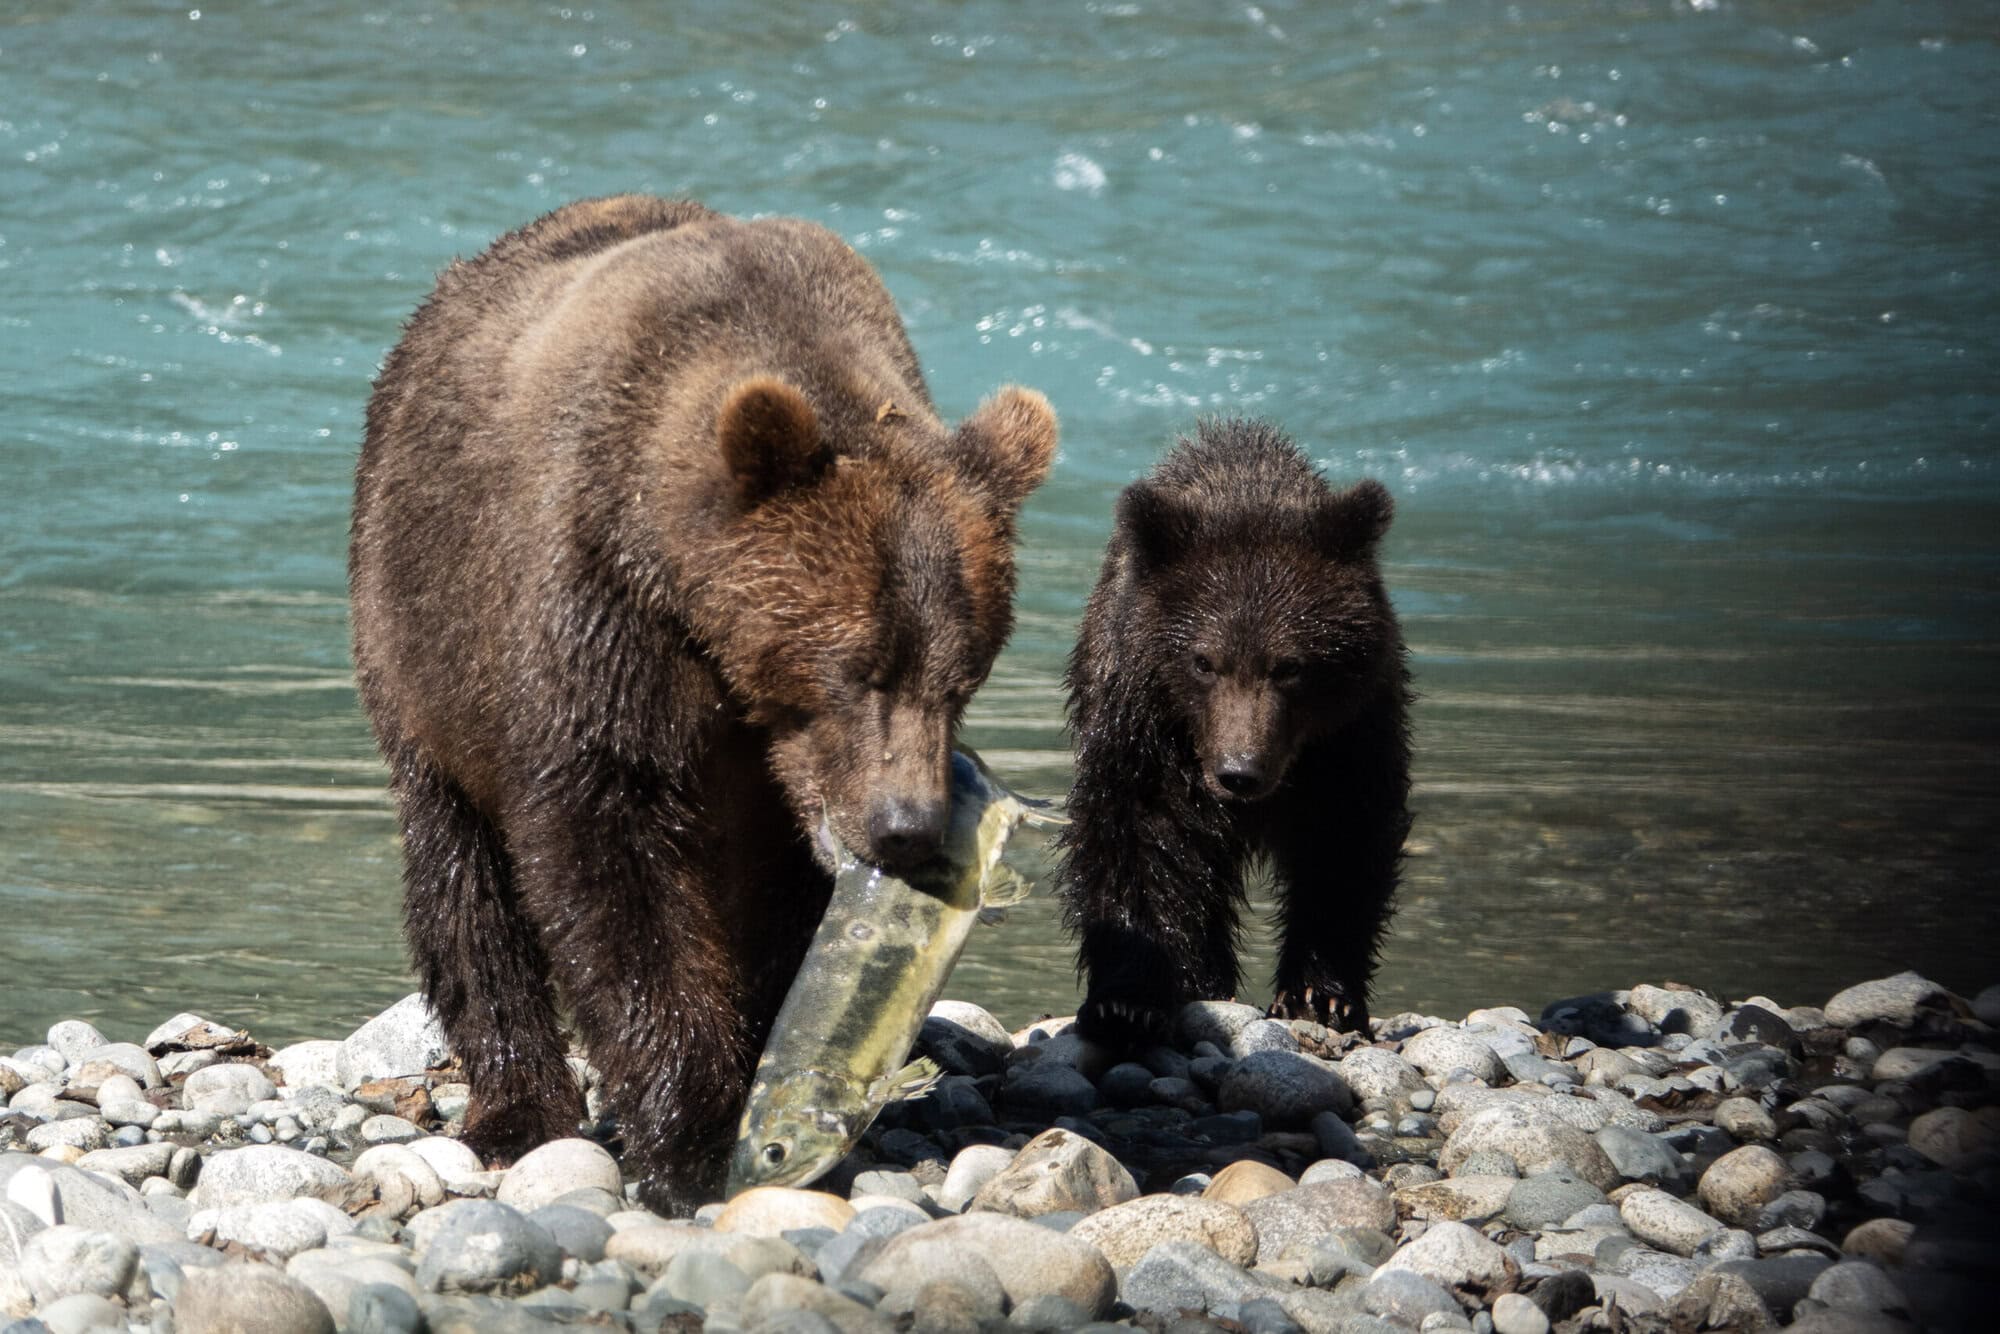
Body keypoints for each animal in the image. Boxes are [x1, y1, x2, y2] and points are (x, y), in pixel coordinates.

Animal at [349, 195, 1056, 1213]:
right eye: (855, 669)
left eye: (963, 676)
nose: (907, 828)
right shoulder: (596, 618)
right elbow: (612, 858)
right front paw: (689, 1137)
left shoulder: (773, 776)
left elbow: (778, 896)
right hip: (421, 641)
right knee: (460, 876)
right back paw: (519, 1109)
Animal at [1056, 417, 1409, 1048]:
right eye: (1203, 661)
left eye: (1290, 665)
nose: (1239, 772)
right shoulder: (1145, 724)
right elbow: (1140, 835)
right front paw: (1131, 1001)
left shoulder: (1351, 730)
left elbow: (1345, 836)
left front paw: (1321, 995)